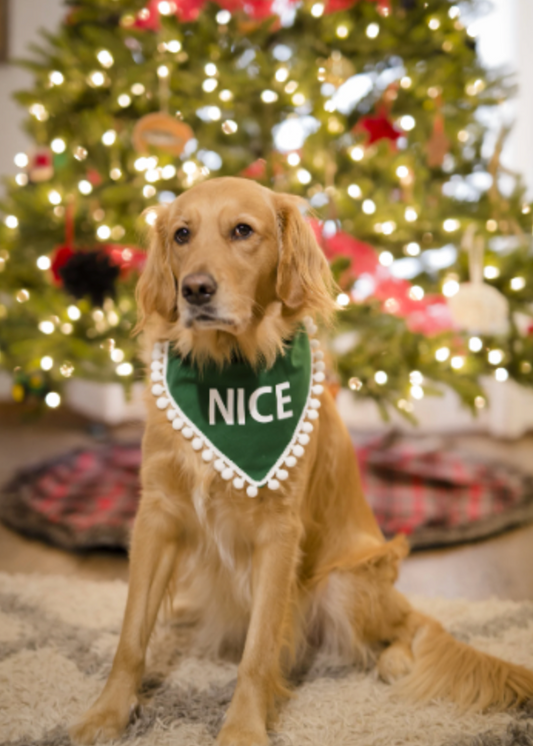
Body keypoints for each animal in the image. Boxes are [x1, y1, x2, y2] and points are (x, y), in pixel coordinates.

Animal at [70, 176, 532, 744]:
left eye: (242, 231)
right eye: (181, 234)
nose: (195, 290)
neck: (228, 369)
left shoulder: (279, 530)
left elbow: (259, 650)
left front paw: (242, 730)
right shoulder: (156, 515)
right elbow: (131, 635)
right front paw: (108, 713)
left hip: (348, 581)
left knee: (414, 623)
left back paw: (396, 659)